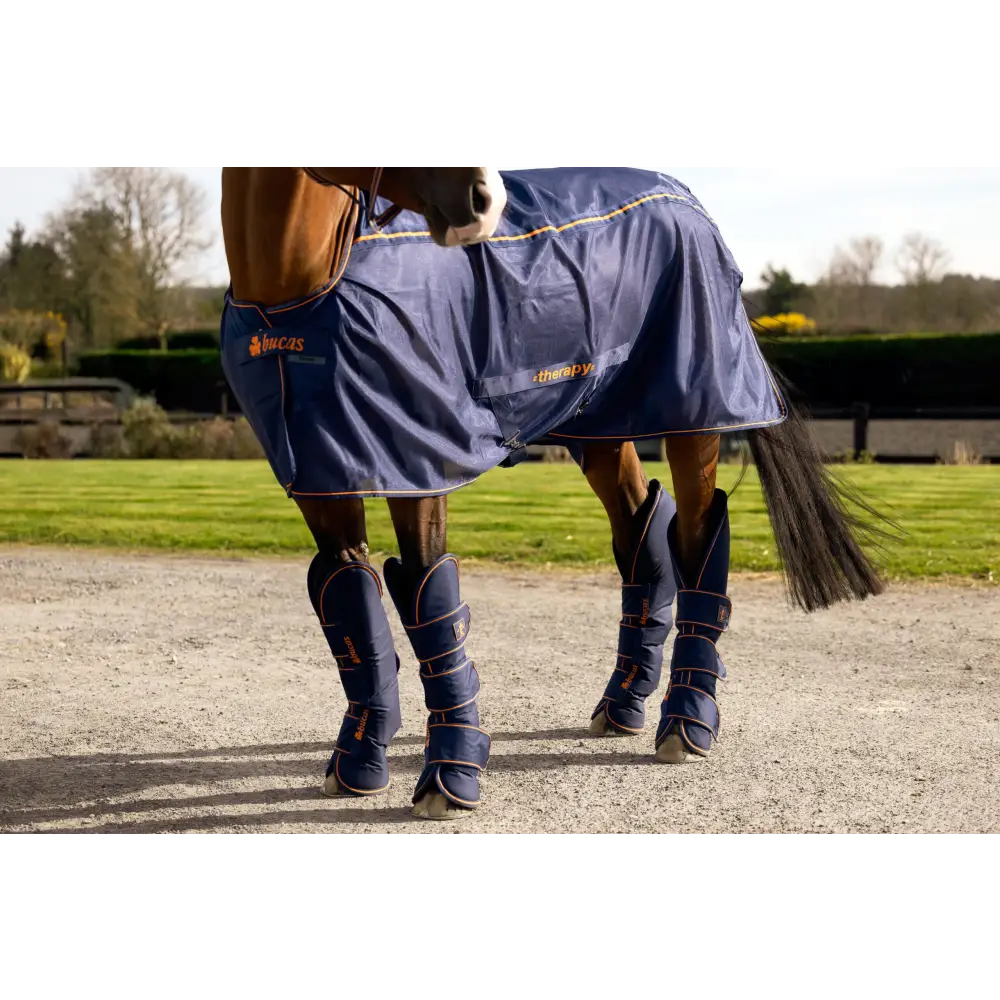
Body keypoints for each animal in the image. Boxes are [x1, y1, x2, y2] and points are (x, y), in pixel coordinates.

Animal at [219, 160, 893, 821]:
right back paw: (622, 703)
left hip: (694, 417)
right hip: (605, 428)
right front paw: (360, 762)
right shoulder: (325, 477)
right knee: (643, 540)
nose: (482, 200)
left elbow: (432, 608)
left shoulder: (420, 467)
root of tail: (685, 197)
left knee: (699, 542)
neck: (304, 286)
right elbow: (352, 610)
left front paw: (451, 778)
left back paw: (687, 723)